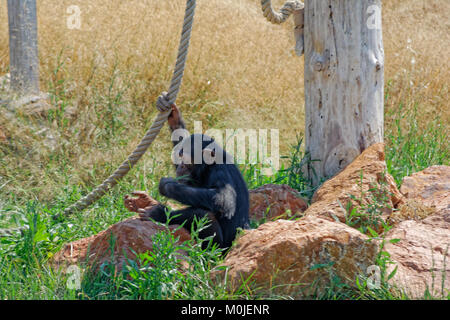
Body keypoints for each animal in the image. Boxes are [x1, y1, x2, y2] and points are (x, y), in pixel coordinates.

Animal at [123, 99, 250, 250]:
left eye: (187, 160)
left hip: (220, 248)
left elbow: (223, 199)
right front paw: (174, 117)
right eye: (180, 156)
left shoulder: (220, 173)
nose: (181, 165)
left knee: (204, 215)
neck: (208, 167)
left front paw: (166, 186)